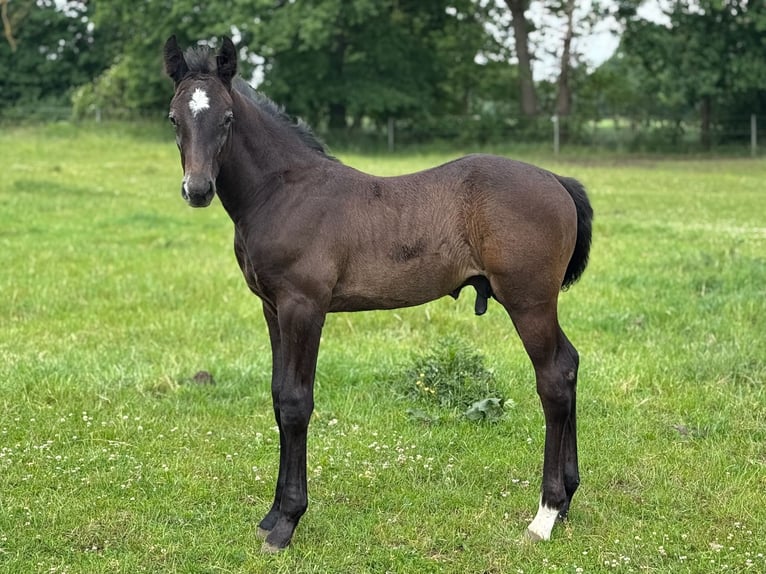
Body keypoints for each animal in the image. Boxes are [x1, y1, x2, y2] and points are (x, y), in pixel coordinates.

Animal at [163, 36, 593, 552]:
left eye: (227, 117)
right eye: (174, 118)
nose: (198, 189)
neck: (282, 192)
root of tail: (557, 181)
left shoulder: (304, 307)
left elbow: (296, 403)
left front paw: (287, 522)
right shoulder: (272, 309)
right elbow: (277, 397)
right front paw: (270, 516)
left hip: (528, 301)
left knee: (552, 378)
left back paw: (545, 514)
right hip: (540, 303)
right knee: (569, 364)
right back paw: (566, 500)